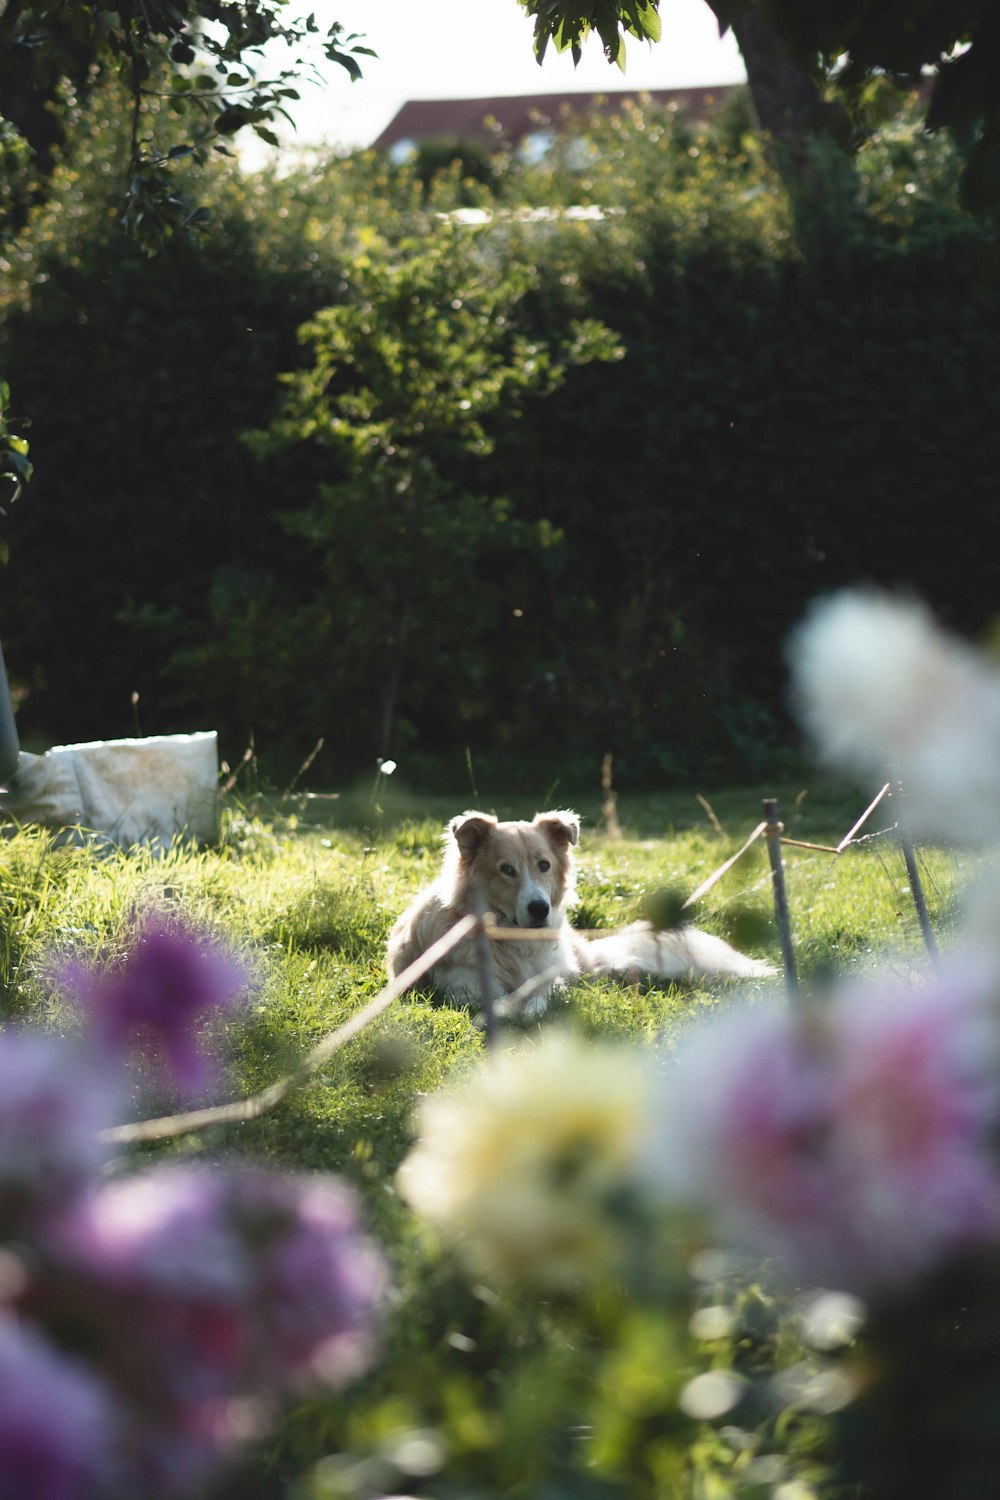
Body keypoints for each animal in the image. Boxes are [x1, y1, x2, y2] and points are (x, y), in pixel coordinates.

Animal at [386, 810, 779, 1020]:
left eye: (544, 865)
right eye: (506, 869)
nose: (540, 909)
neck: (512, 941)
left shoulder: (552, 975)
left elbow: (542, 995)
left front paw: (531, 1010)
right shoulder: (460, 983)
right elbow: (495, 998)